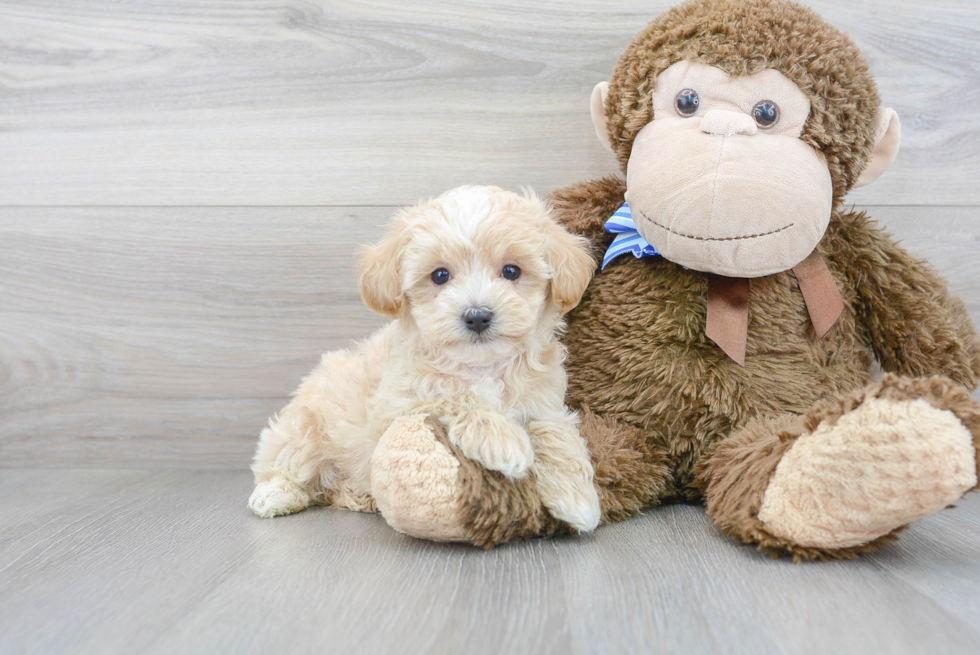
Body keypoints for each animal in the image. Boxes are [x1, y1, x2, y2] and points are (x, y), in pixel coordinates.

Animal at [249, 187, 600, 536]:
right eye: (440, 276)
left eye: (511, 271)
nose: (477, 316)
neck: (481, 366)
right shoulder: (396, 406)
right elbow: (453, 394)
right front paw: (504, 440)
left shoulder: (545, 403)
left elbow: (555, 433)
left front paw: (577, 499)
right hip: (303, 428)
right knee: (288, 466)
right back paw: (275, 494)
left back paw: (359, 495)